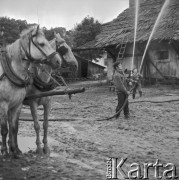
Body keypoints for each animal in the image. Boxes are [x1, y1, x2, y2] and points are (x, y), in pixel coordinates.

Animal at [0, 26, 62, 157]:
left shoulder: (18, 104)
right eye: (41, 43)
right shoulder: (4, 104)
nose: (58, 61)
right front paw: (4, 151)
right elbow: (4, 129)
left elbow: (15, 127)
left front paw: (16, 150)